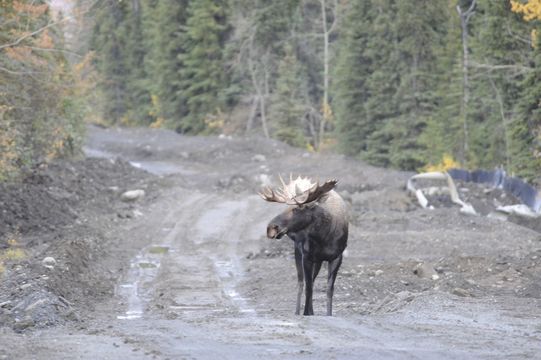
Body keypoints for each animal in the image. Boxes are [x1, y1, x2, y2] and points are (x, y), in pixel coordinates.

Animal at [258, 176, 350, 316]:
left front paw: (328, 313)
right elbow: (308, 287)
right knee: (301, 283)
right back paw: (297, 311)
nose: (271, 228)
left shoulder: (337, 257)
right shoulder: (307, 255)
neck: (325, 237)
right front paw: (307, 312)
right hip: (298, 251)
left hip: (318, 260)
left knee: (311, 280)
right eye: (285, 207)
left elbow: (329, 289)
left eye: (297, 208)